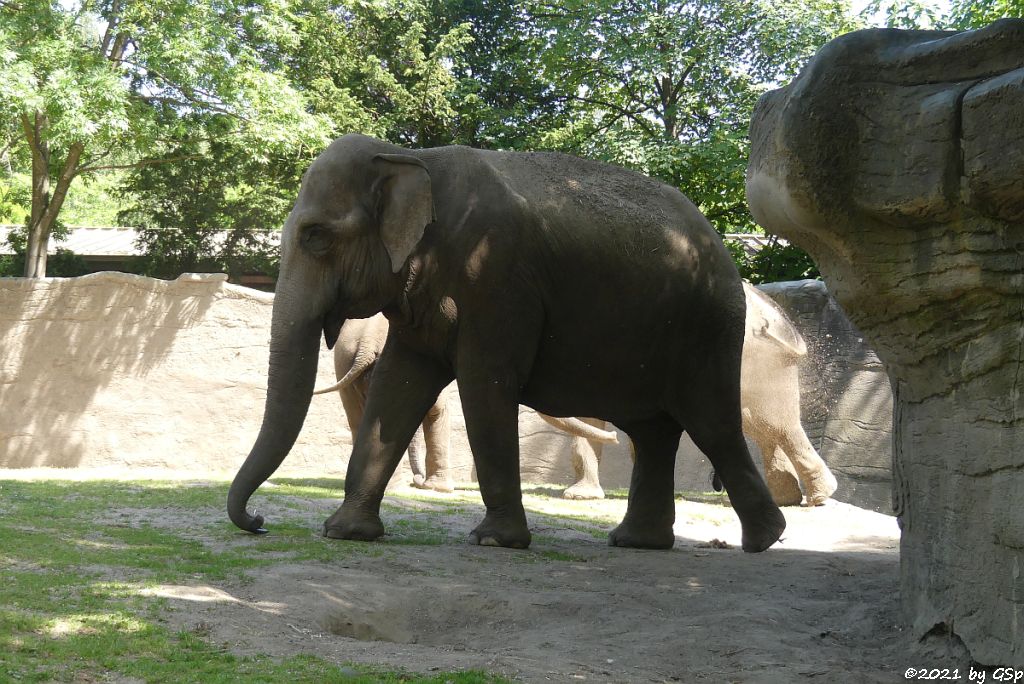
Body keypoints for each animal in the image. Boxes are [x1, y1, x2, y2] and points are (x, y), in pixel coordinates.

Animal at [309, 313, 614, 493]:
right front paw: (441, 489)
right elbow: (438, 412)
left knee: (356, 415)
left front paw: (436, 488)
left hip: (345, 364)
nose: (615, 438)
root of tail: (366, 344)